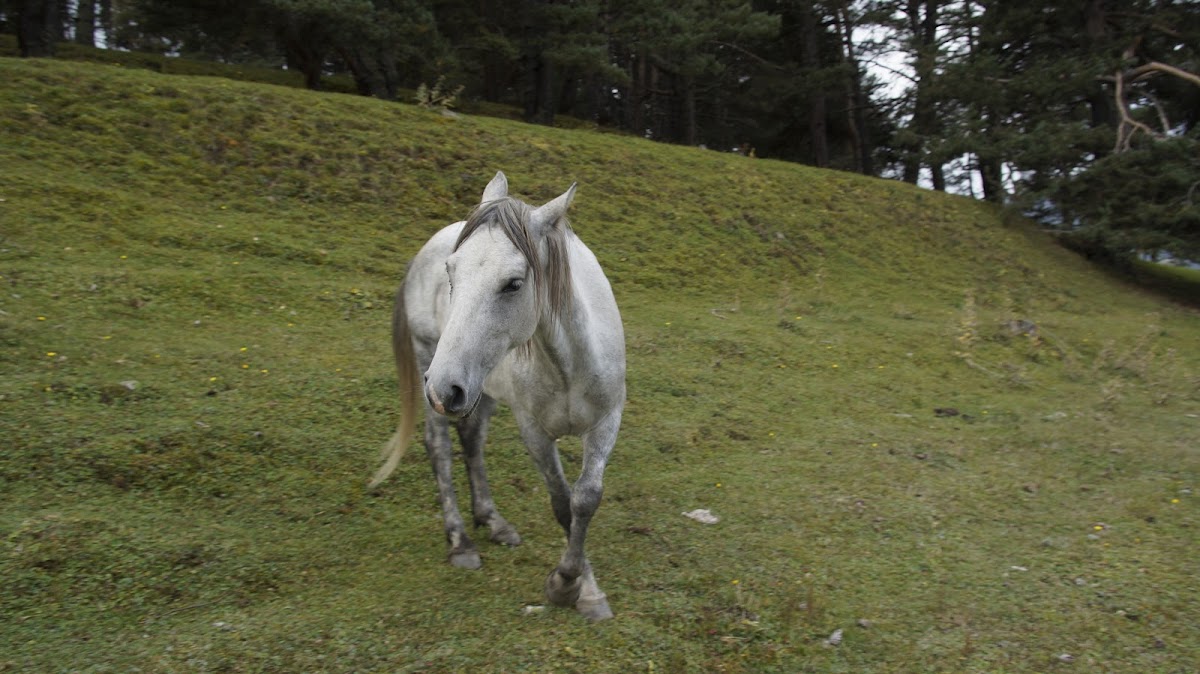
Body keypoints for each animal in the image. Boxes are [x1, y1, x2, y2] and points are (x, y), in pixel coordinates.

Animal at [369, 169, 624, 618]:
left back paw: (492, 520)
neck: (569, 364)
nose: (442, 386)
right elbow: (562, 502)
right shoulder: (534, 431)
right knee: (439, 447)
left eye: (514, 284)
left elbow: (585, 500)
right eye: (451, 273)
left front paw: (587, 590)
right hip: (435, 366)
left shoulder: (607, 422)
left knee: (472, 440)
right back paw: (460, 541)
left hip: (475, 387)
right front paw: (567, 584)